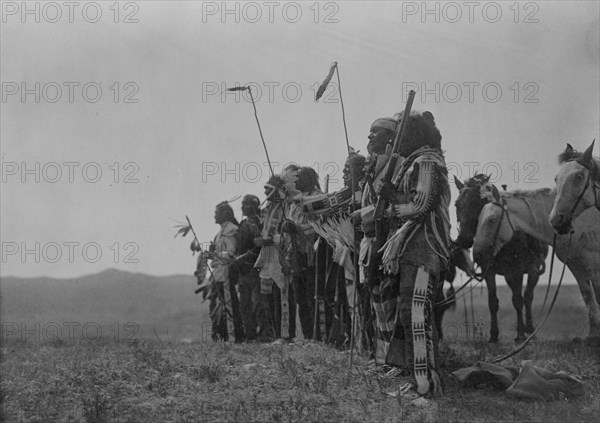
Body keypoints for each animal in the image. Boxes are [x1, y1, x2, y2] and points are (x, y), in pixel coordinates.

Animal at [454, 176, 548, 344]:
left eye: (478, 203)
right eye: (457, 204)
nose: (463, 239)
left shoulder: (515, 272)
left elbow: (518, 301)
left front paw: (519, 334)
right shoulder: (488, 272)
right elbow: (493, 302)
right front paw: (493, 335)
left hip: (533, 270)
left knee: (528, 297)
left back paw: (530, 330)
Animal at [472, 186, 600, 344]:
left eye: (491, 219)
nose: (477, 255)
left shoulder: (594, 264)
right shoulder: (576, 266)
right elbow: (588, 297)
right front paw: (593, 335)